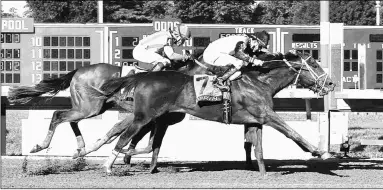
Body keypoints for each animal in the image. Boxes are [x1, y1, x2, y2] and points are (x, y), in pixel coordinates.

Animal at [86, 50, 336, 175]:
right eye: (315, 65)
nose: (332, 84)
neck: (260, 81)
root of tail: (143, 76)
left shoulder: (256, 120)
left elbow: (257, 147)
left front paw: (263, 172)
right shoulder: (266, 115)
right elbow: (292, 133)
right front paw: (320, 152)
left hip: (157, 117)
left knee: (134, 139)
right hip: (144, 116)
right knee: (124, 137)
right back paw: (107, 166)